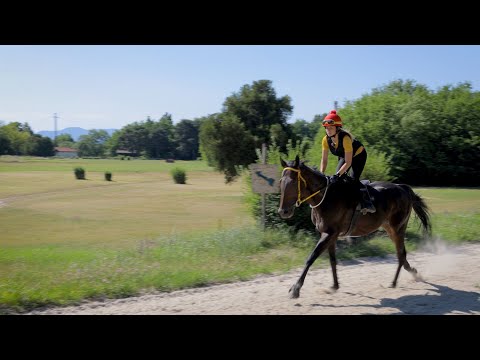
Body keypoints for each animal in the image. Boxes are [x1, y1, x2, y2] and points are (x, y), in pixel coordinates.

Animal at [278, 155, 432, 298]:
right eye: (281, 182)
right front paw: (334, 285)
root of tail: (403, 188)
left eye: (293, 182)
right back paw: (413, 272)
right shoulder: (329, 234)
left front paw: (296, 288)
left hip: (398, 228)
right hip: (389, 228)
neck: (325, 197)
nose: (283, 211)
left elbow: (311, 257)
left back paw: (394, 282)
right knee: (402, 254)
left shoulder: (329, 233)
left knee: (400, 254)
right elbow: (332, 260)